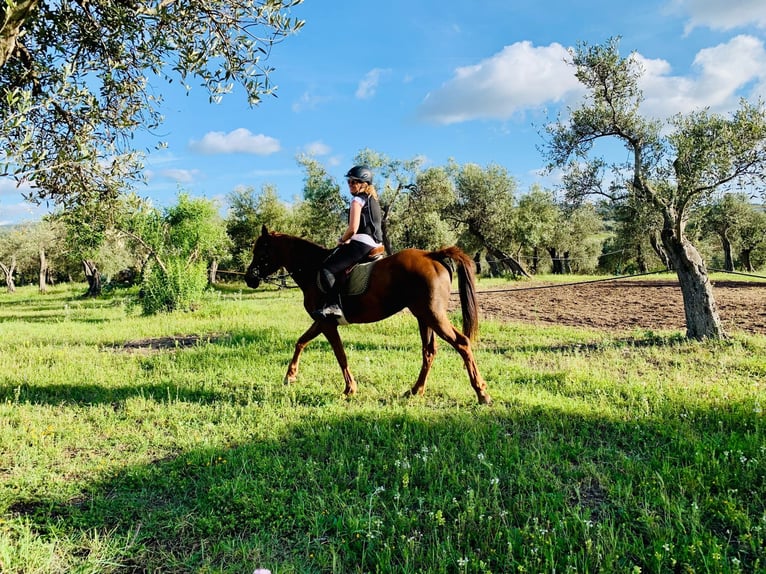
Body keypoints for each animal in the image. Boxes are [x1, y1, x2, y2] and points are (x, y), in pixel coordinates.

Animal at [244, 226, 492, 404]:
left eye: (261, 252)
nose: (249, 278)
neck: (313, 268)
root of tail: (433, 255)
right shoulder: (321, 321)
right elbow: (301, 342)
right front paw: (290, 376)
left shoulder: (326, 323)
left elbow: (340, 354)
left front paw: (349, 389)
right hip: (424, 317)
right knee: (429, 351)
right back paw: (415, 391)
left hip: (433, 315)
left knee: (462, 343)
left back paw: (482, 394)